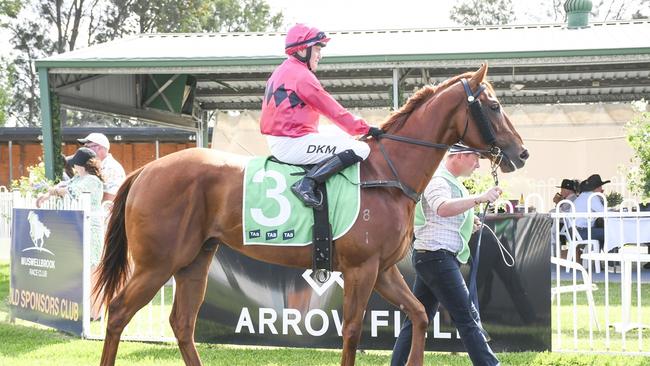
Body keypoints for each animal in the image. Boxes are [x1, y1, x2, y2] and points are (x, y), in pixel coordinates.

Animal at [95, 63, 528, 366]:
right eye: (494, 106)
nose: (521, 153)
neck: (386, 173)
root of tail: (145, 170)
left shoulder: (384, 270)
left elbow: (419, 316)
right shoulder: (361, 268)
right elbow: (351, 331)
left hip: (194, 261)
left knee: (183, 323)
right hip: (157, 263)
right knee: (118, 313)